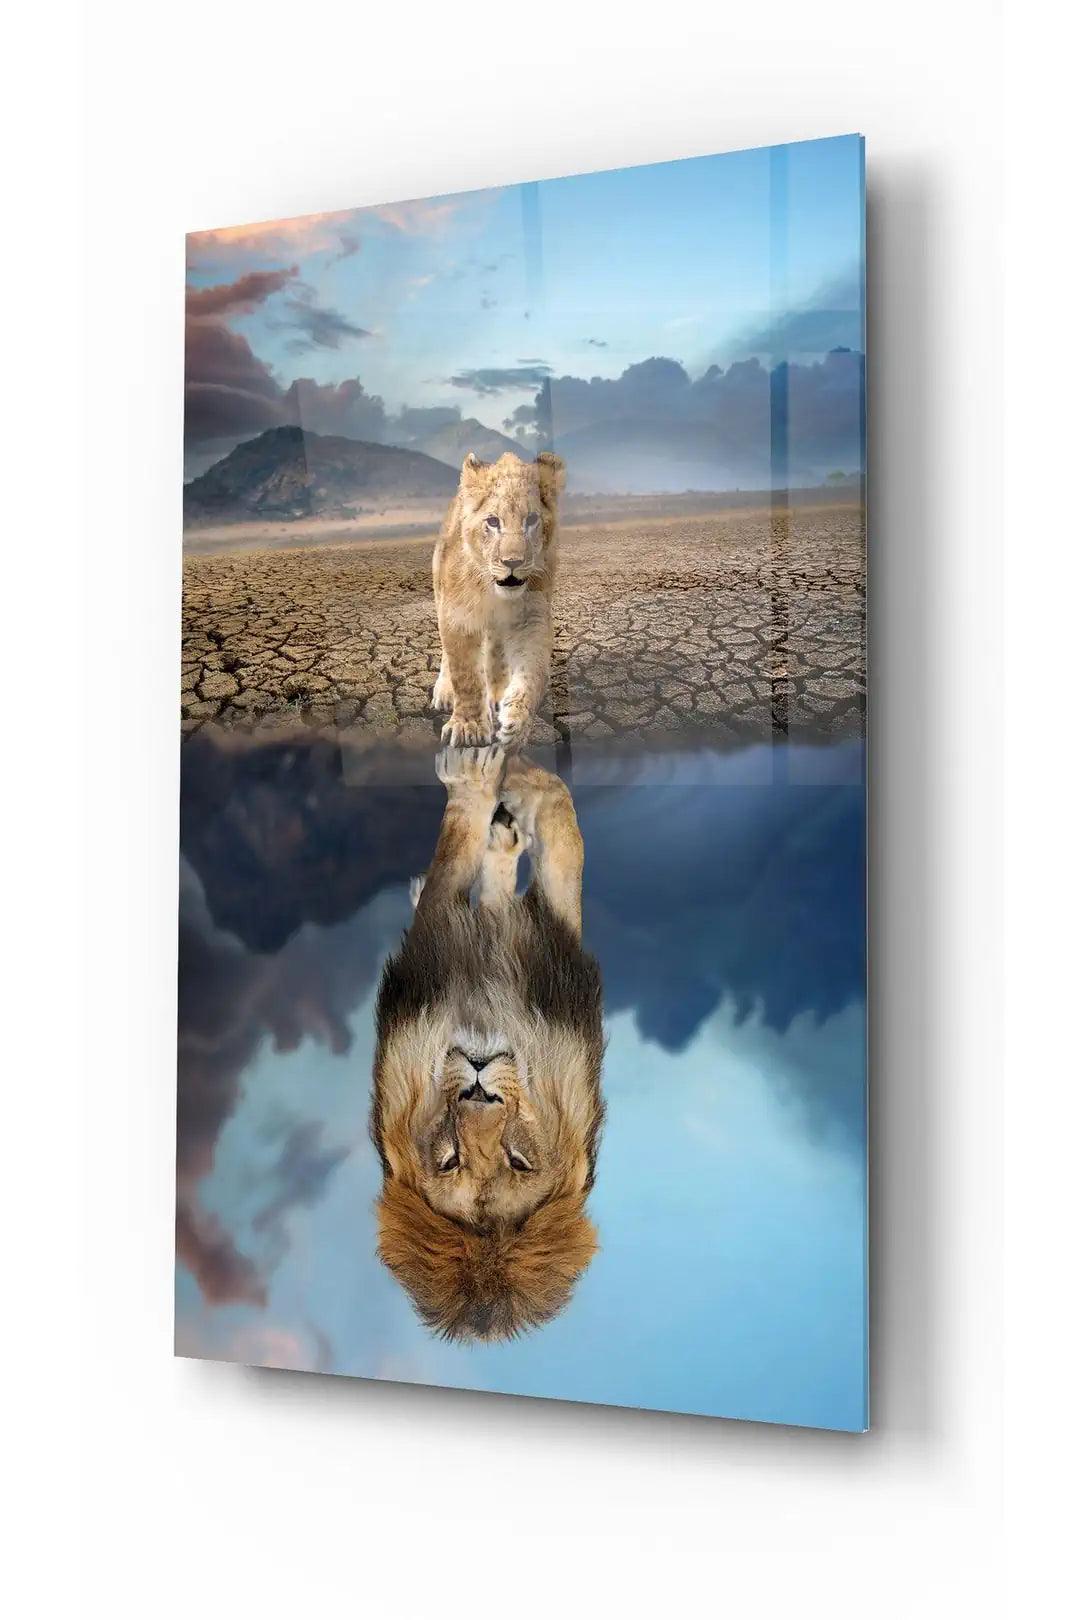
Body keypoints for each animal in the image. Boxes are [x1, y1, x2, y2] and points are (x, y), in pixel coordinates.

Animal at [370, 743, 604, 1342]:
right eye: (450, 1160)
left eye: (519, 1161)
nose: (479, 1087)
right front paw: (497, 782)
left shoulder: (551, 957)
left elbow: (558, 839)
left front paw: (498, 781)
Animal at [431, 450, 566, 751]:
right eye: (493, 522)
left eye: (531, 520)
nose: (512, 562)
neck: (496, 593)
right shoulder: (458, 616)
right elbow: (465, 674)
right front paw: (468, 727)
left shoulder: (532, 620)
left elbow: (532, 674)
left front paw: (516, 723)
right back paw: (444, 693)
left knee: (496, 651)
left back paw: (497, 694)